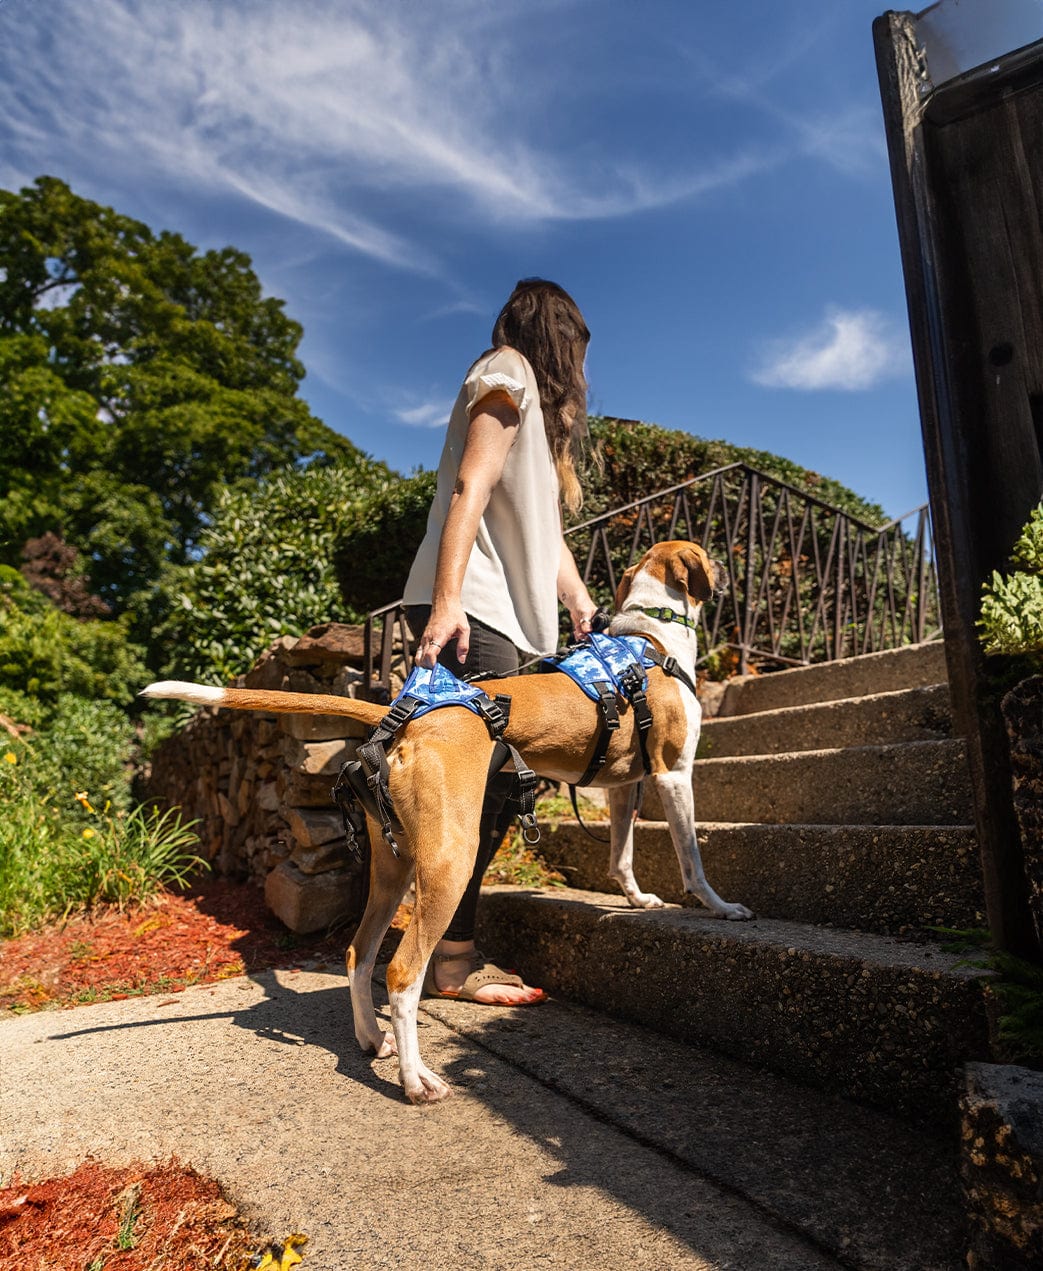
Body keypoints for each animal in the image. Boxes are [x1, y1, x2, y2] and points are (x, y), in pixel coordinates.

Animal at [142, 536, 752, 1103]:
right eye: (706, 552)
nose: (728, 566)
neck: (651, 636)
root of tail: (408, 717)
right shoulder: (674, 773)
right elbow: (693, 859)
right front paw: (720, 907)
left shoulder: (626, 787)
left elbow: (621, 854)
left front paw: (639, 900)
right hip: (451, 862)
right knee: (402, 973)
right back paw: (417, 1080)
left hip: (393, 869)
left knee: (359, 954)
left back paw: (372, 1040)